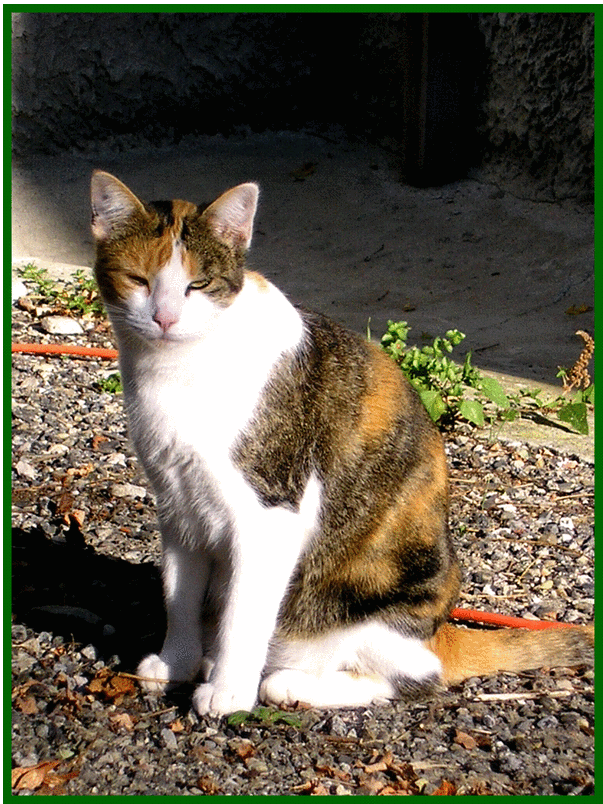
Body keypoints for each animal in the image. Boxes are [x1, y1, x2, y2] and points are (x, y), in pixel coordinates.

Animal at [91, 171, 596, 716]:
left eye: (197, 285)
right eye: (138, 280)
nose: (164, 318)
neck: (174, 371)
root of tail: (440, 632)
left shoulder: (270, 514)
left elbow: (242, 618)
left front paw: (229, 691)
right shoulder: (177, 504)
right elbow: (179, 595)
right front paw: (177, 662)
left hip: (372, 608)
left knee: (414, 678)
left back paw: (288, 684)